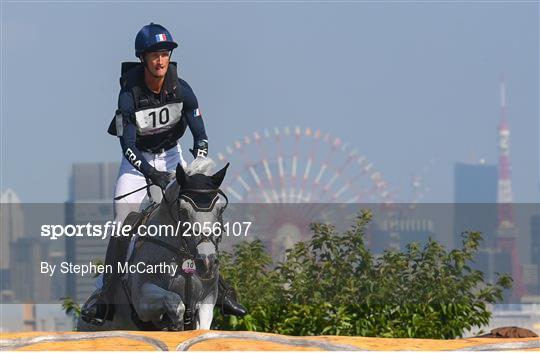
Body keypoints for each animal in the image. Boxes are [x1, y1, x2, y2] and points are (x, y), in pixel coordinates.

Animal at [77, 158, 229, 332]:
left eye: (220, 211)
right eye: (183, 211)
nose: (207, 262)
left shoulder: (207, 299)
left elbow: (202, 326)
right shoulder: (142, 301)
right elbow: (174, 301)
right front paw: (174, 325)